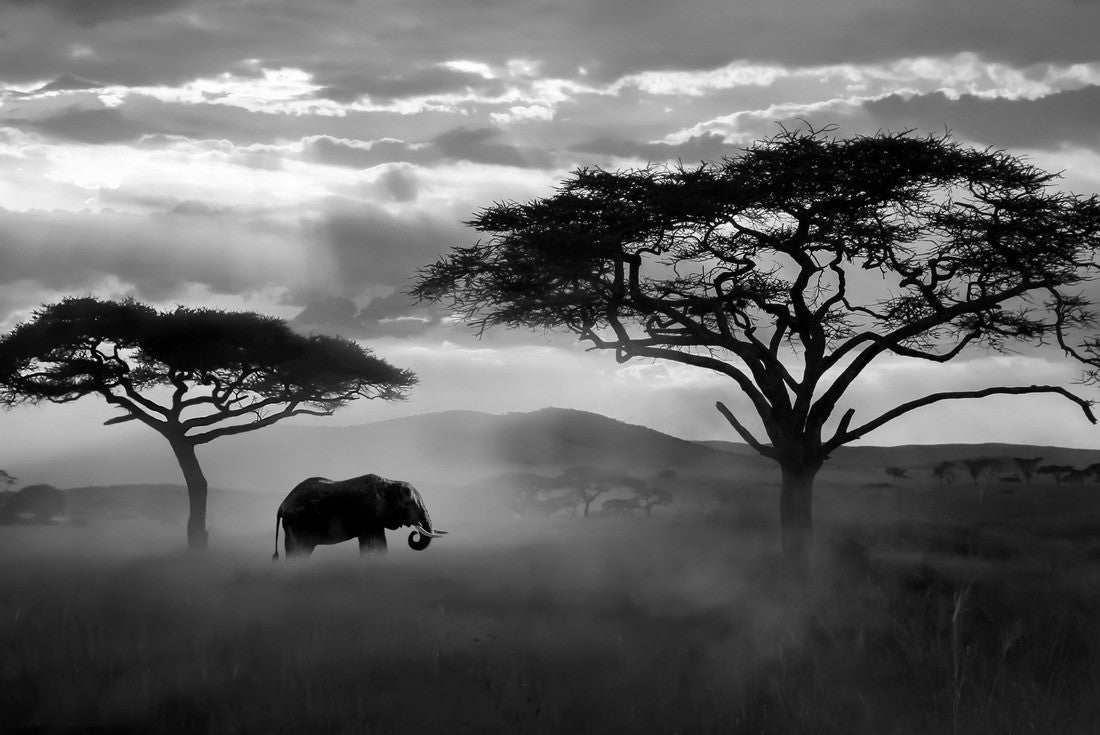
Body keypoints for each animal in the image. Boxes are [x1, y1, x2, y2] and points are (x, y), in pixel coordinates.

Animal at [273, 474, 446, 559]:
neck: (389, 482)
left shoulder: (376, 520)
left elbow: (381, 545)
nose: (415, 532)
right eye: (408, 504)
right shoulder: (368, 514)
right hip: (296, 524)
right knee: (297, 551)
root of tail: (281, 506)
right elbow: (371, 544)